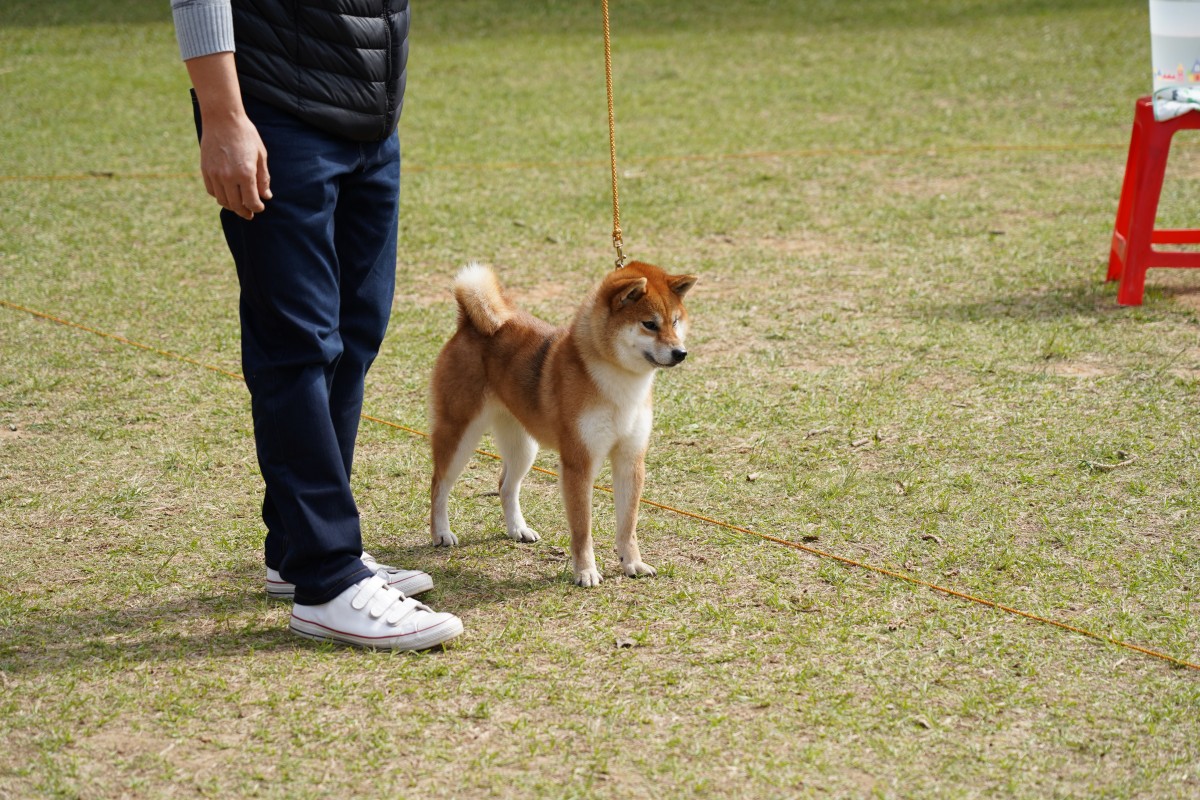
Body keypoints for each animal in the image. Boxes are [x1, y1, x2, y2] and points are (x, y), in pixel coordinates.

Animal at [429, 262, 696, 587]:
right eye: (649, 324)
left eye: (675, 321)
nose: (680, 353)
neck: (620, 384)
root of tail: (469, 323)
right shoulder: (579, 463)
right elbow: (582, 529)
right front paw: (586, 571)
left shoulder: (630, 459)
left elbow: (628, 525)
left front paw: (633, 563)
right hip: (460, 435)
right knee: (439, 484)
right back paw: (441, 533)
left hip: (523, 447)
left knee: (505, 485)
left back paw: (518, 529)